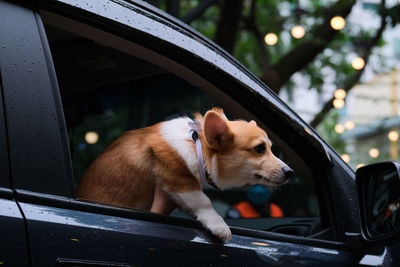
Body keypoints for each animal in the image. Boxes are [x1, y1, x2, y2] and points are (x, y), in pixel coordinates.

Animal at [76, 108, 294, 242]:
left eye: (271, 148)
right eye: (259, 148)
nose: (290, 172)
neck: (197, 145)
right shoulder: (176, 175)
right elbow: (202, 200)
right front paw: (219, 225)